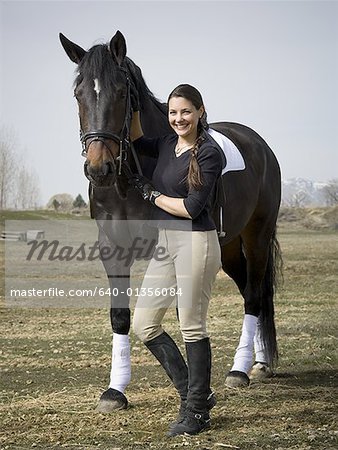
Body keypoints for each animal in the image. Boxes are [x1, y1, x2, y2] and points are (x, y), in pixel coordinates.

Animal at [60, 29, 282, 414]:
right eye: (79, 94)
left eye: (121, 92)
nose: (99, 169)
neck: (128, 181)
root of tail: (259, 145)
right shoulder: (111, 248)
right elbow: (121, 316)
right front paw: (115, 391)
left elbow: (184, 316)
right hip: (227, 246)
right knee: (249, 293)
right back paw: (259, 362)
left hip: (256, 236)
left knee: (255, 294)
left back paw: (241, 370)